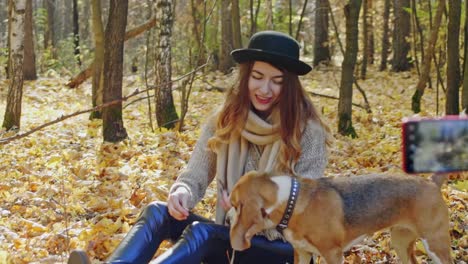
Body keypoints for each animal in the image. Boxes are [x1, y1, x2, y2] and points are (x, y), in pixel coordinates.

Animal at [229, 171, 452, 264]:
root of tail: (431, 182)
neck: (291, 200)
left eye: (234, 204)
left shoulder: (332, 254)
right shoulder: (302, 253)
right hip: (400, 242)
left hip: (436, 245)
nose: (227, 216)